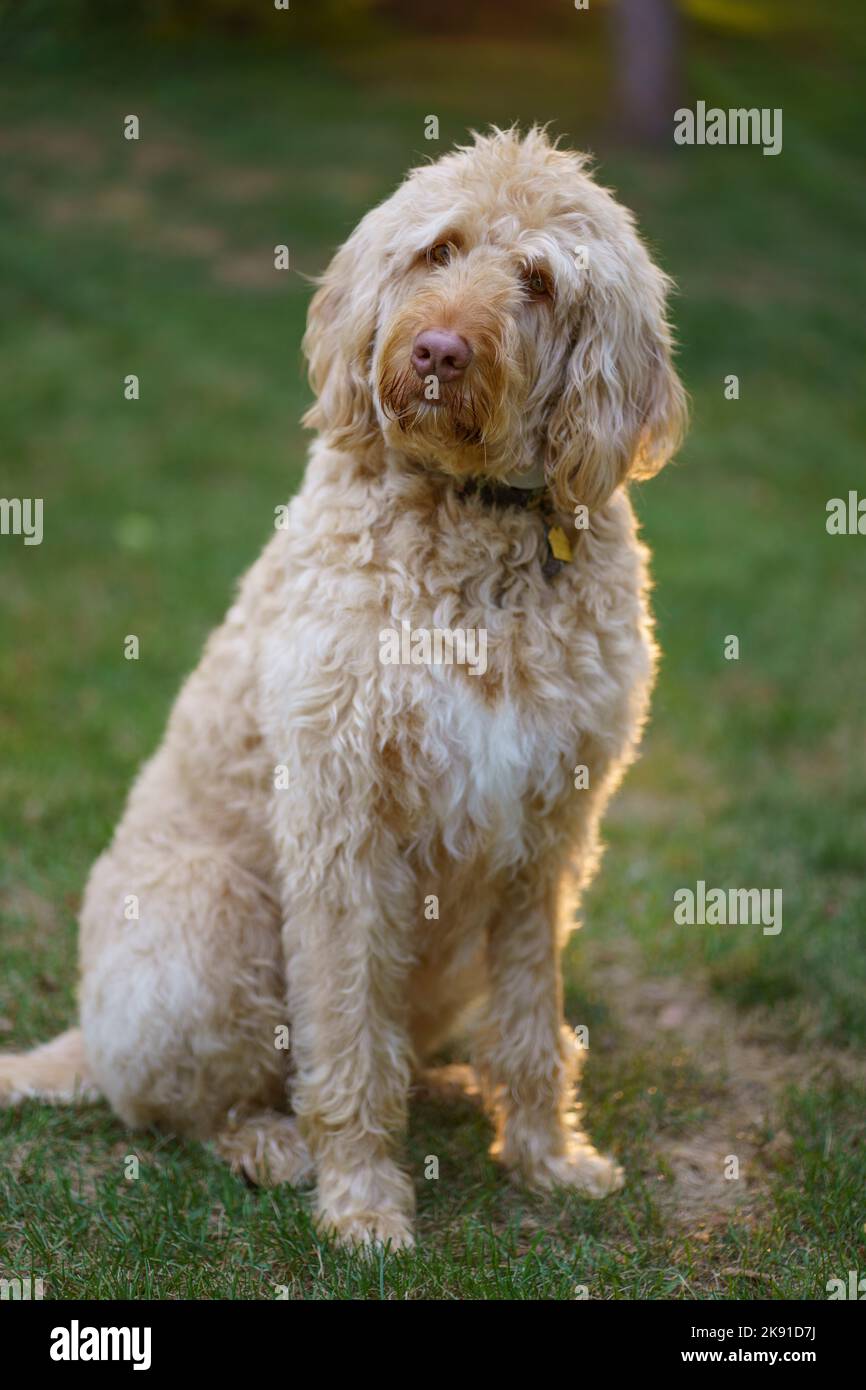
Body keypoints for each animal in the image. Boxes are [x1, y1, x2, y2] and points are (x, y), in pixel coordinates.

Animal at [1, 130, 692, 1256]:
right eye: (438, 248)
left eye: (538, 280)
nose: (439, 352)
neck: (473, 524)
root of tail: (85, 1042)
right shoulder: (342, 823)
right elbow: (348, 1038)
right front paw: (364, 1201)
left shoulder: (547, 839)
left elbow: (532, 1027)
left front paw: (547, 1158)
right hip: (207, 915)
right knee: (184, 1104)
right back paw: (270, 1142)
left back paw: (451, 1082)